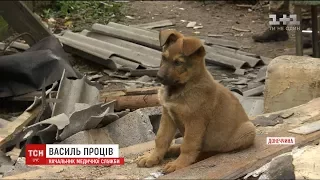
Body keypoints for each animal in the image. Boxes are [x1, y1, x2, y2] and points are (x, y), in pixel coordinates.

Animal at [136, 29, 256, 173]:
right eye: (163, 58)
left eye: (178, 62)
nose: (158, 77)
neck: (181, 88)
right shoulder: (168, 116)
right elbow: (161, 139)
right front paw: (152, 158)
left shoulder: (195, 121)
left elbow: (188, 145)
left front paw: (179, 164)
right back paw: (171, 150)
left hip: (248, 130)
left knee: (210, 151)